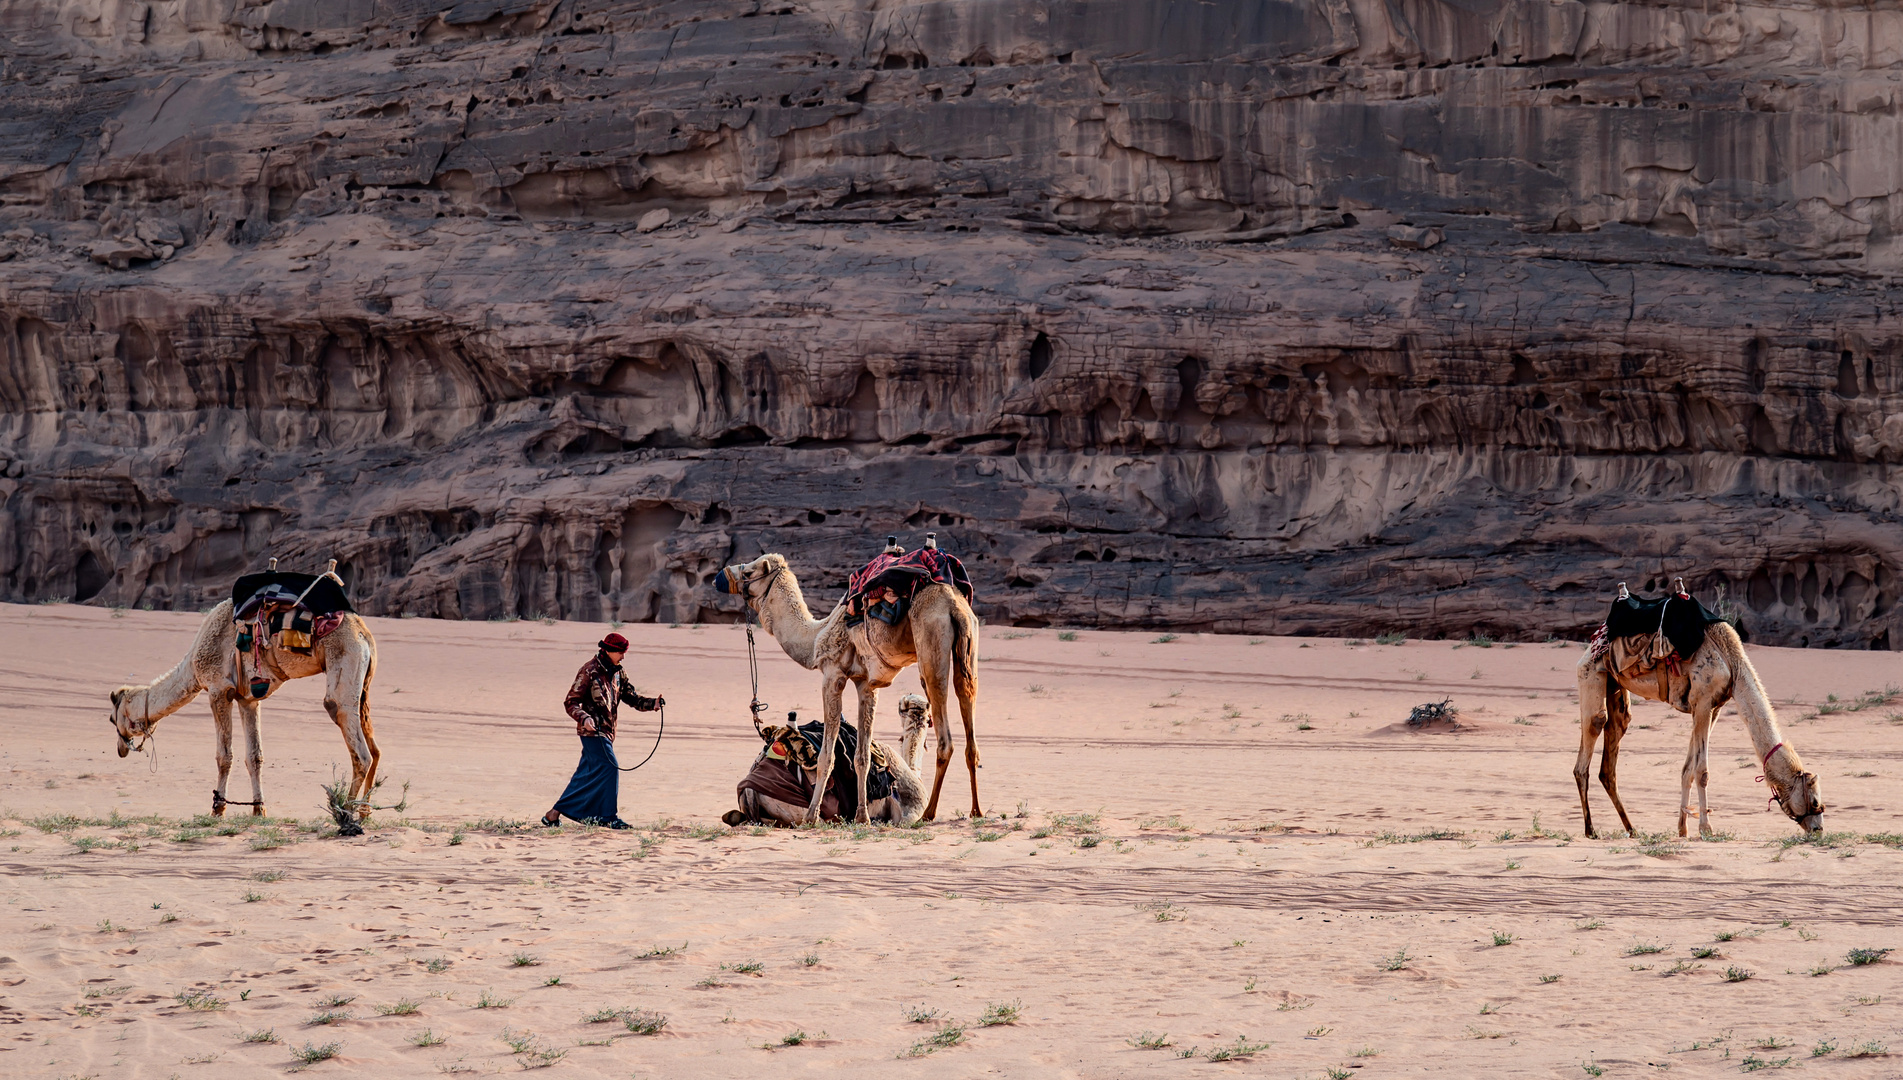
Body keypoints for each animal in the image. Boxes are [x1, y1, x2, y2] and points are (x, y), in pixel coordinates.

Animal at [106, 593, 380, 813]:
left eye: (111, 719)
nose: (120, 749)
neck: (193, 668)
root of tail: (365, 635)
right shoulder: (248, 699)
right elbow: (254, 756)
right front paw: (259, 810)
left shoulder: (218, 689)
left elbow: (224, 755)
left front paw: (218, 809)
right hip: (363, 685)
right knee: (374, 749)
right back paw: (364, 812)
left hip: (344, 659)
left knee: (354, 740)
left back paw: (346, 814)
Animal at [1575, 619, 1826, 840]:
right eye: (1814, 801)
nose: (1818, 830)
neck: (1732, 664)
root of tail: (1593, 643)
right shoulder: (1703, 701)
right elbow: (1702, 772)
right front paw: (1706, 829)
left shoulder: (1712, 708)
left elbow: (1688, 768)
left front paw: (1683, 829)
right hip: (1592, 672)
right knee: (1592, 735)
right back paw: (1590, 830)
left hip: (1615, 686)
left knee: (1612, 752)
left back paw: (1632, 829)